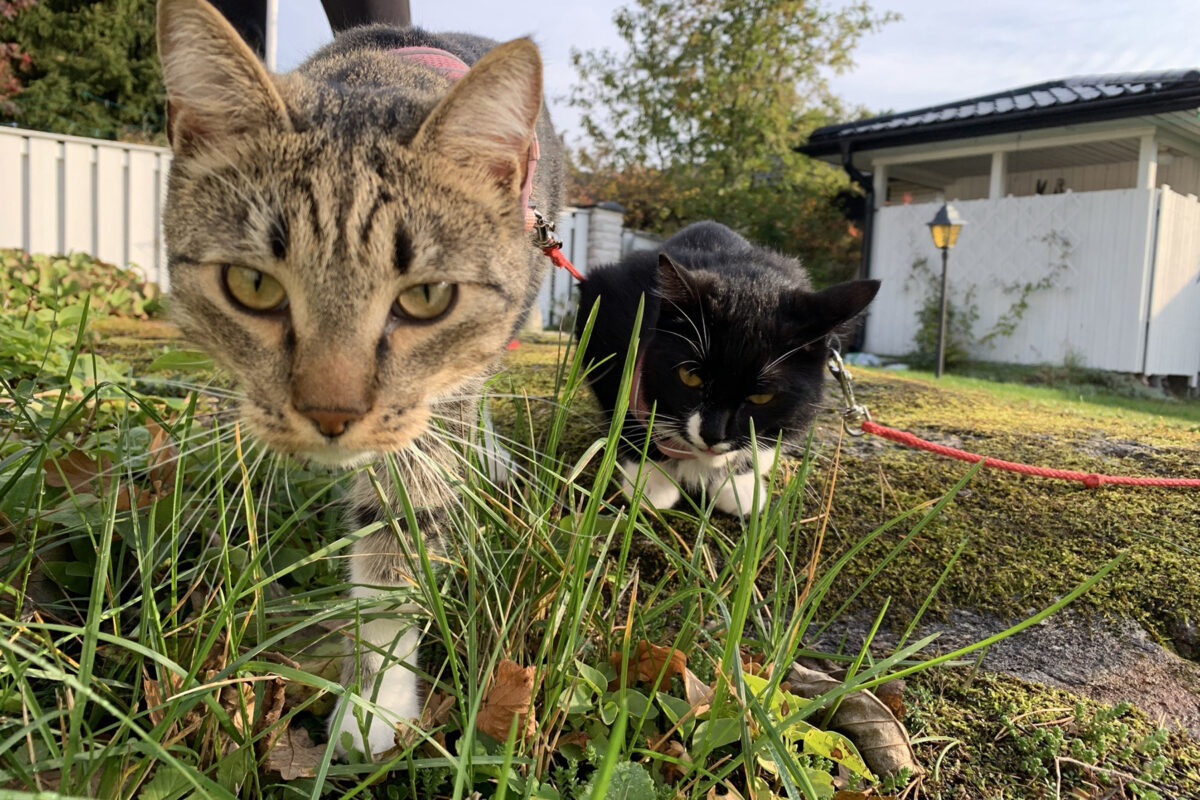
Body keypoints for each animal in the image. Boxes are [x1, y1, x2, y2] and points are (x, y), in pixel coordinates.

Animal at [157, 0, 564, 758]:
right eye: (252, 284)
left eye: (428, 297)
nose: (331, 414)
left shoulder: (422, 425)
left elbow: (396, 551)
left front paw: (375, 705)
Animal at [576, 221, 878, 515]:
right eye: (690, 377)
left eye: (761, 396)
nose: (712, 434)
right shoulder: (608, 307)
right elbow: (621, 402)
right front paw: (652, 478)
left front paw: (740, 484)